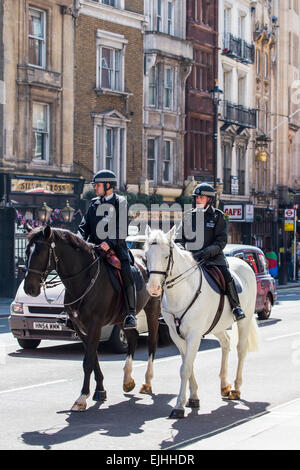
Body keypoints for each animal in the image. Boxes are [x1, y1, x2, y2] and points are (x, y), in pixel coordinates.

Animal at [24, 224, 161, 412]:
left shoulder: (95, 325)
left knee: (152, 344)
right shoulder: (80, 326)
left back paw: (147, 382)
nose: (29, 288)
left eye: (39, 252)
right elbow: (93, 356)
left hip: (152, 310)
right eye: (26, 252)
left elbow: (88, 360)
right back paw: (127, 380)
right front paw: (100, 390)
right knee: (132, 338)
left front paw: (82, 397)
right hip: (121, 318)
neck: (83, 278)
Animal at [144, 225, 258, 418]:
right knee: (225, 343)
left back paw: (236, 388)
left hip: (245, 319)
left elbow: (185, 369)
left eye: (166, 256)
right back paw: (224, 386)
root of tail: (244, 262)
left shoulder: (194, 334)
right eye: (146, 256)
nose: (153, 288)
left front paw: (179, 407)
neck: (182, 292)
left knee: (241, 350)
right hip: (217, 325)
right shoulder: (177, 335)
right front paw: (193, 398)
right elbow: (187, 365)